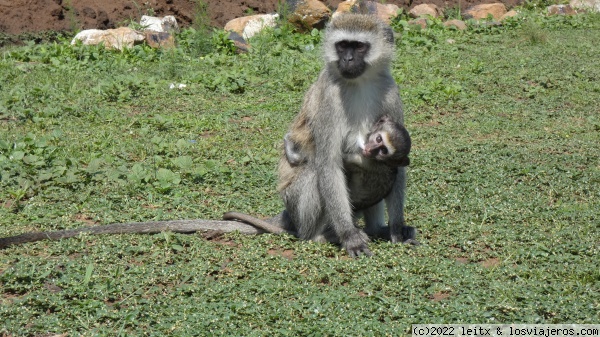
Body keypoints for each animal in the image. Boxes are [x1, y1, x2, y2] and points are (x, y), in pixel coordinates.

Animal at [276, 11, 418, 256]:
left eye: (359, 47)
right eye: (342, 46)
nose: (348, 60)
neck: (360, 82)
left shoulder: (391, 92)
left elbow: (396, 166)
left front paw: (397, 229)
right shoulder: (330, 98)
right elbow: (329, 164)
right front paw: (350, 237)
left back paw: (376, 229)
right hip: (294, 204)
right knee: (315, 170)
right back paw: (320, 235)